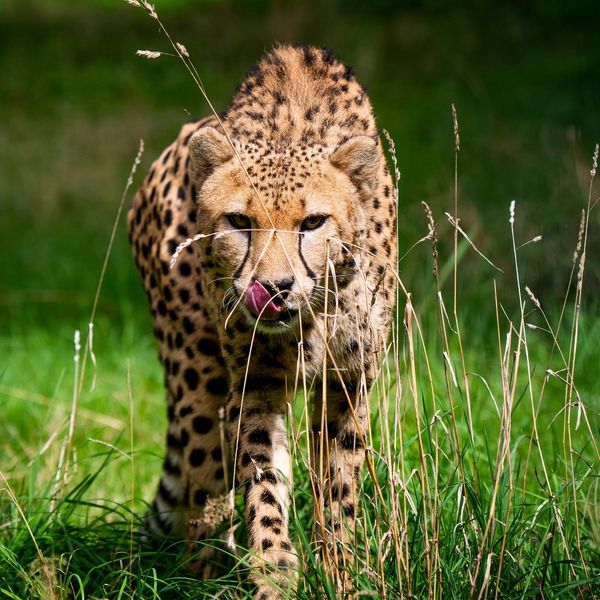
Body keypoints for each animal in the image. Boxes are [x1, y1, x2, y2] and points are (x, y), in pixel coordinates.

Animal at [127, 44, 398, 596]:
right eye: (239, 221)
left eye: (312, 222)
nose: (274, 288)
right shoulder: (256, 382)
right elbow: (262, 481)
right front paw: (274, 569)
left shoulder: (348, 382)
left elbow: (338, 486)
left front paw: (340, 572)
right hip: (197, 375)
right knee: (204, 487)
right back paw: (205, 573)